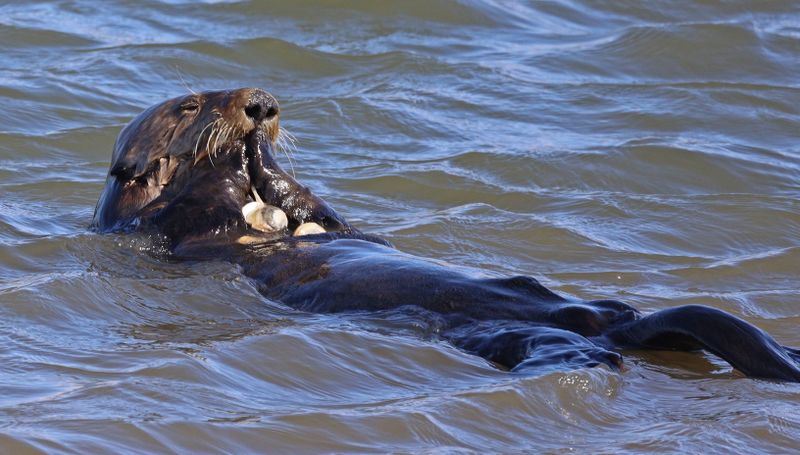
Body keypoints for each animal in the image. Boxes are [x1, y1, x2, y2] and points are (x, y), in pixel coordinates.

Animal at [94, 87, 800, 382]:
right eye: (189, 107)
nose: (260, 105)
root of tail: (605, 325)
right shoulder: (179, 230)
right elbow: (204, 203)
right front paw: (237, 160)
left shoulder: (323, 220)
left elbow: (326, 217)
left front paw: (268, 162)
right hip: (507, 335)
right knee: (562, 346)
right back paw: (592, 363)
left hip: (589, 308)